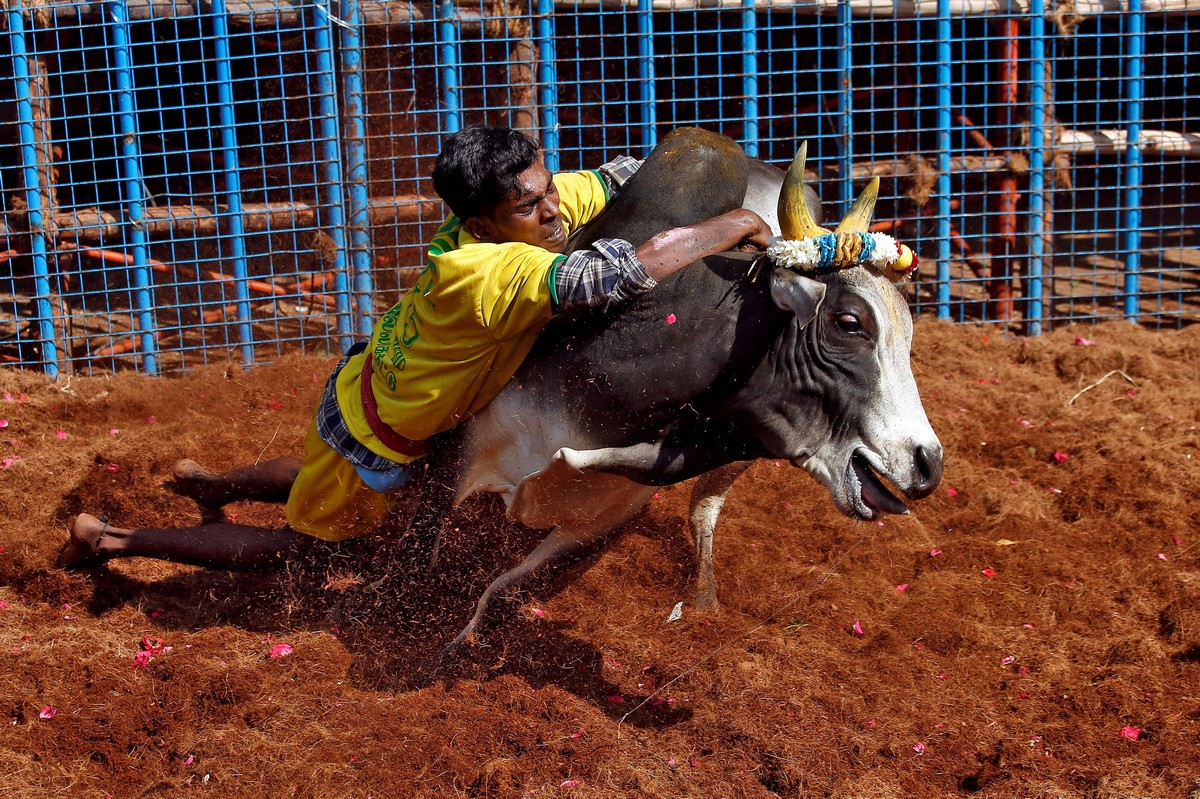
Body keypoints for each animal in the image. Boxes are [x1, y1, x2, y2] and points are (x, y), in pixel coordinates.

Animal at [391, 128, 936, 652]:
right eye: (849, 323)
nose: (928, 462)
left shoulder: (599, 521)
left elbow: (502, 592)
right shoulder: (460, 451)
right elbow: (414, 568)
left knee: (704, 511)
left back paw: (702, 598)